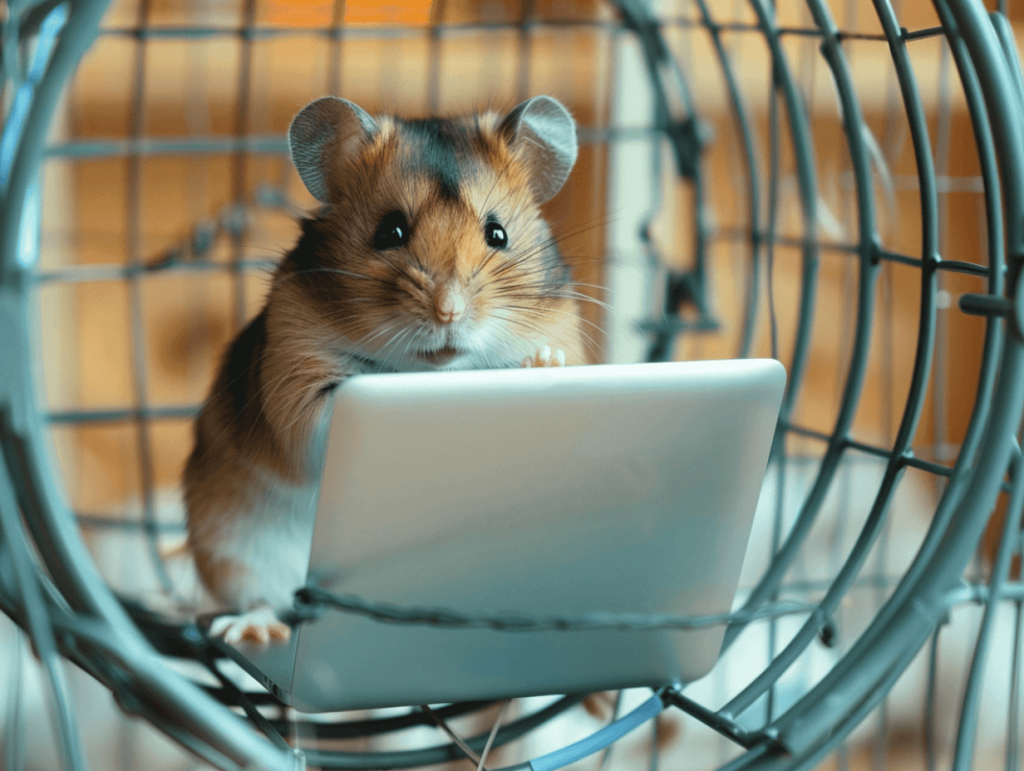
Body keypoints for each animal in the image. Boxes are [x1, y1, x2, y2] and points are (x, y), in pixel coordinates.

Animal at [183, 95, 588, 644]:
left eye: (497, 233)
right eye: (390, 231)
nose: (448, 312)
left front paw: (542, 362)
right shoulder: (294, 379)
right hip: (231, 545)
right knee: (262, 600)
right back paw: (252, 631)